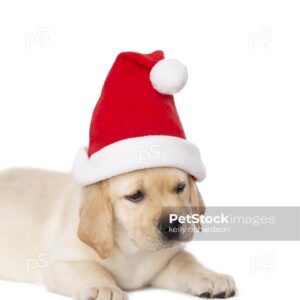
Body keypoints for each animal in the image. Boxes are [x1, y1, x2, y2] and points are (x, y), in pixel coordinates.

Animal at [0, 168, 236, 298]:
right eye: (135, 196)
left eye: (180, 187)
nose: (173, 225)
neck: (131, 250)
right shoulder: (60, 263)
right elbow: (93, 269)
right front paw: (104, 288)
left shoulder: (164, 263)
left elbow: (184, 261)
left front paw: (211, 277)